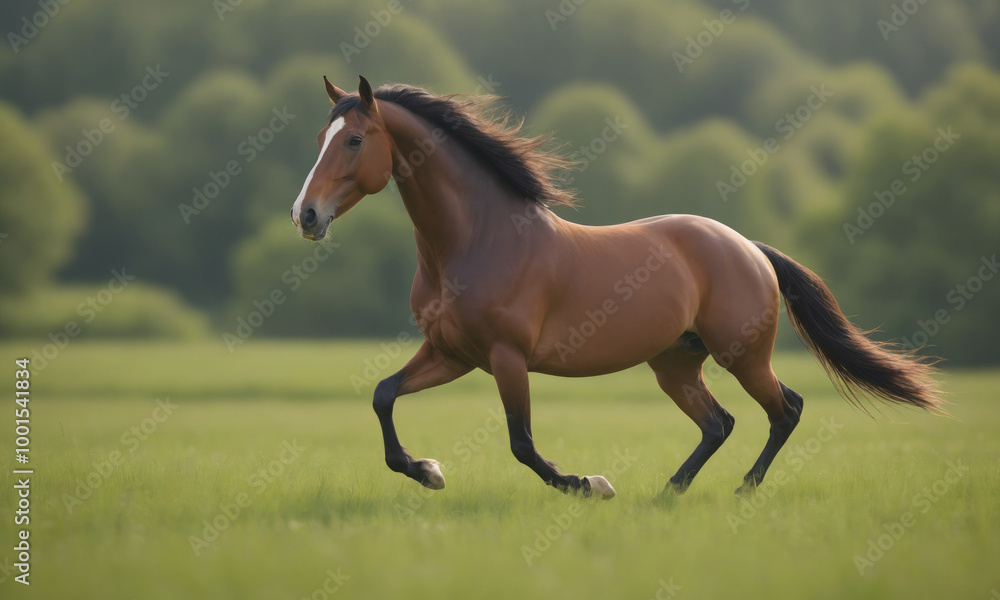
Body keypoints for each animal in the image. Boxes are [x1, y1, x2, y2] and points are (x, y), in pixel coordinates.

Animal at [290, 75, 941, 499]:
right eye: (319, 139)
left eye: (354, 140)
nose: (306, 215)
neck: (479, 239)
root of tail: (751, 249)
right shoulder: (453, 353)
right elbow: (383, 396)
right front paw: (427, 470)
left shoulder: (505, 356)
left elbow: (522, 443)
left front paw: (589, 483)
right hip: (675, 363)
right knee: (719, 423)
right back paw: (669, 492)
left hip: (743, 355)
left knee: (786, 410)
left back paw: (741, 491)